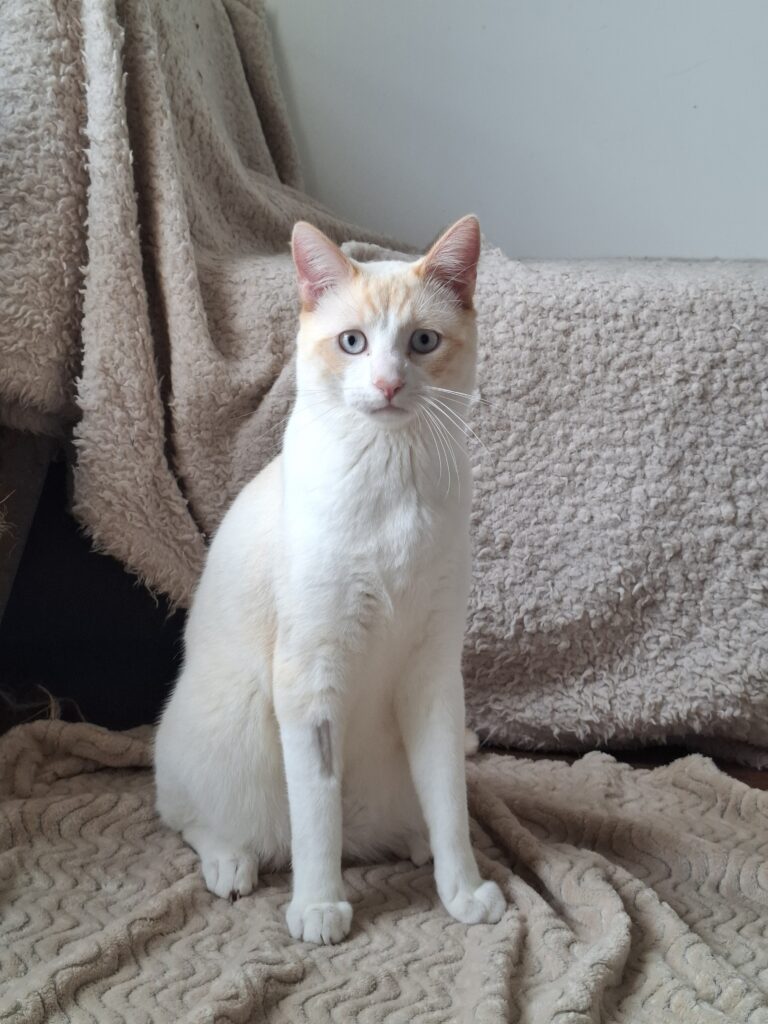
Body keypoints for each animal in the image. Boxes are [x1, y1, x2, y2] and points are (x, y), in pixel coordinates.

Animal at [154, 215, 506, 944]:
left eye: (422, 342)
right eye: (353, 342)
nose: (389, 385)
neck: (391, 472)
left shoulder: (434, 675)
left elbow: (452, 807)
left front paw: (463, 892)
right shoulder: (312, 675)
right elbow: (317, 812)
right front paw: (319, 908)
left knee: (410, 818)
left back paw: (414, 848)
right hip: (230, 721)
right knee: (199, 820)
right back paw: (232, 864)